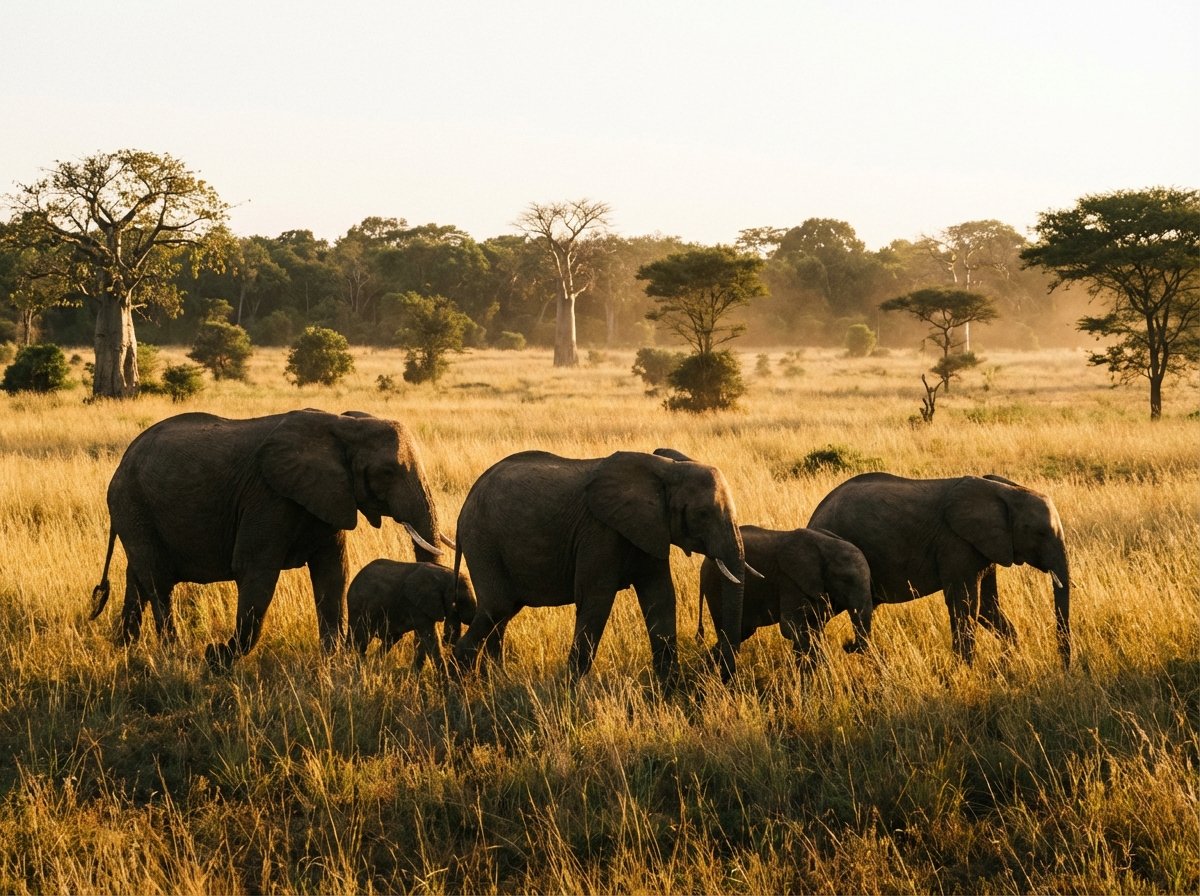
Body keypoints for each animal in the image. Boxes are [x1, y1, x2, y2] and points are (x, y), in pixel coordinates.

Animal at [89, 408, 443, 668]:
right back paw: (175, 655)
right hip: (131, 504)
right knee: (157, 581)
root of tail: (123, 460)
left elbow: (333, 574)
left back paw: (126, 649)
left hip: (135, 512)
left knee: (138, 579)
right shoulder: (268, 496)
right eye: (388, 472)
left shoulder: (328, 497)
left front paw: (332, 664)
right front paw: (217, 659)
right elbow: (255, 573)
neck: (343, 426)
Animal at [346, 560, 477, 673]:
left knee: (390, 640)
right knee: (360, 641)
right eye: (460, 601)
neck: (444, 575)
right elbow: (430, 638)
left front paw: (415, 675)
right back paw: (357, 667)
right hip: (358, 609)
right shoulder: (416, 606)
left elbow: (422, 640)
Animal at [451, 449, 747, 687]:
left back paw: (495, 681)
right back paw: (461, 687)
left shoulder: (650, 529)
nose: (723, 677)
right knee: (497, 607)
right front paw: (570, 692)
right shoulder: (600, 532)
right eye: (702, 515)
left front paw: (670, 689)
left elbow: (660, 598)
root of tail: (466, 504)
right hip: (483, 541)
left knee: (503, 614)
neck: (667, 469)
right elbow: (596, 601)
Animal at [698, 525, 873, 666]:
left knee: (738, 633)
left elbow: (814, 626)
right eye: (845, 580)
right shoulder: (789, 580)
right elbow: (790, 627)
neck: (827, 547)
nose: (847, 644)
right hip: (716, 587)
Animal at [807, 472, 1070, 667]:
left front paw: (1007, 663)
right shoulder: (956, 544)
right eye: (1040, 533)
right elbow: (966, 604)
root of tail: (814, 517)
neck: (1006, 490)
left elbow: (987, 607)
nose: (1064, 668)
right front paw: (964, 671)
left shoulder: (986, 547)